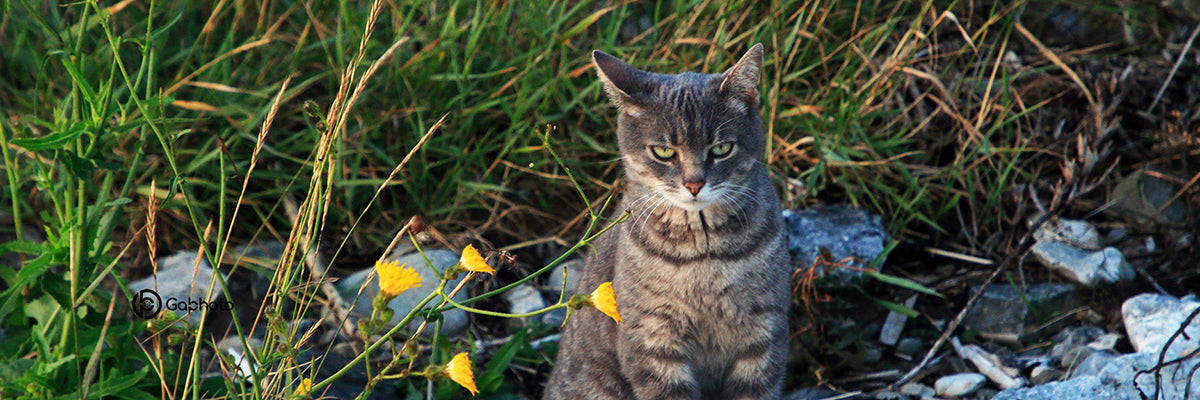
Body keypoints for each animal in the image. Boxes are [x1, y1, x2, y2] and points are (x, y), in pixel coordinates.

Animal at [542, 43, 787, 398]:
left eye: (721, 149)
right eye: (663, 152)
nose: (694, 184)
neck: (703, 254)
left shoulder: (763, 332)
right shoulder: (652, 339)